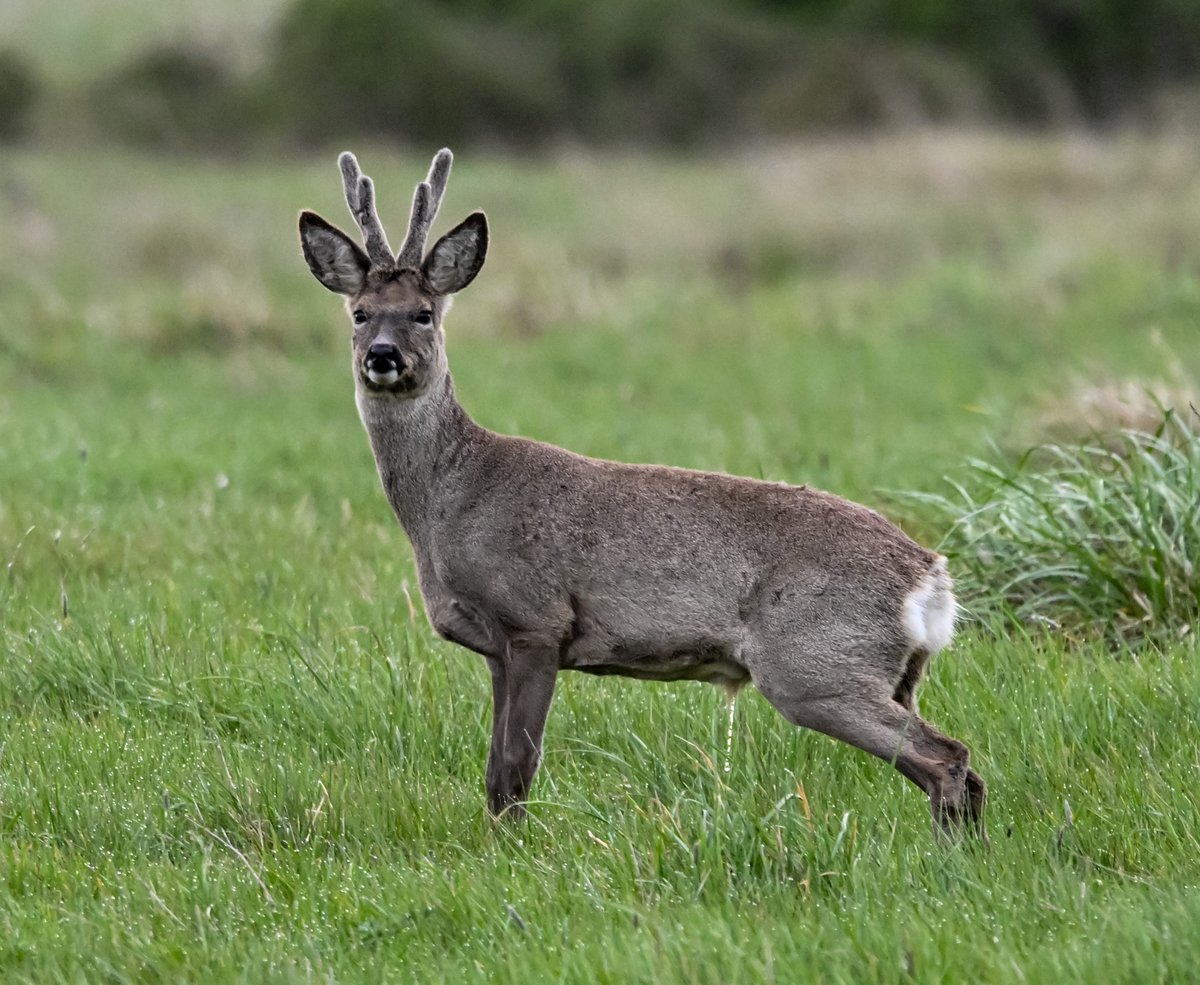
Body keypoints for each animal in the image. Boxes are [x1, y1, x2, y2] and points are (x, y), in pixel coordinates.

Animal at [297, 149, 986, 838]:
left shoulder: (535, 619)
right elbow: (495, 770)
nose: (383, 355)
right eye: (359, 313)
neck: (451, 499)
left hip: (817, 663)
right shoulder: (495, 647)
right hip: (893, 674)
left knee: (947, 757)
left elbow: (517, 764)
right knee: (956, 766)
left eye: (424, 312)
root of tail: (929, 575)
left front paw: (510, 848)